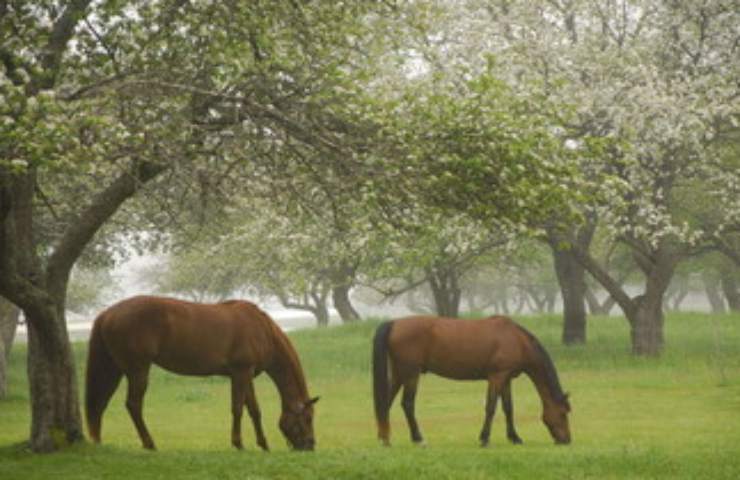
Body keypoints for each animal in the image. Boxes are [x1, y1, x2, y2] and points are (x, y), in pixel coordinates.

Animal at [86, 294, 318, 452]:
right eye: (307, 419)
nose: (310, 446)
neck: (261, 329)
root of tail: (107, 314)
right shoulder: (240, 372)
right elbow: (237, 409)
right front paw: (238, 444)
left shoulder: (246, 375)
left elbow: (254, 410)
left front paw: (263, 444)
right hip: (137, 370)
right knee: (133, 405)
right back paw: (149, 443)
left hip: (114, 370)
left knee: (100, 405)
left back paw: (99, 442)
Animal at [376, 316, 572, 446]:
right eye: (563, 413)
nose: (567, 440)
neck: (516, 340)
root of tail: (395, 323)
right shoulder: (497, 377)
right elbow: (491, 407)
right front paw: (484, 438)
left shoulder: (506, 379)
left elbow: (508, 408)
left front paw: (514, 437)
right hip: (411, 374)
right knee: (407, 404)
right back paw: (418, 439)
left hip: (399, 374)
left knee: (386, 403)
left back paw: (384, 439)